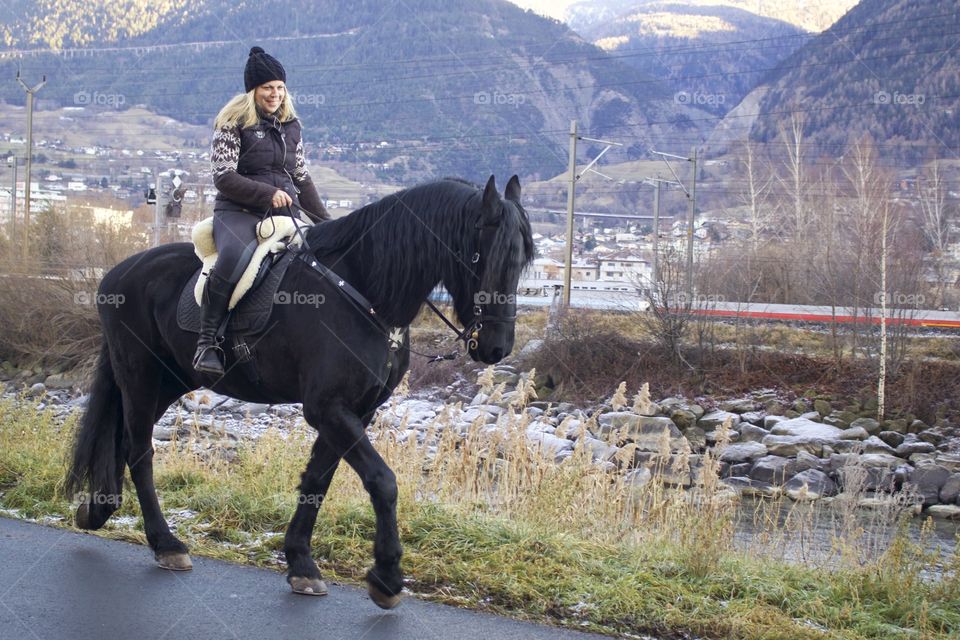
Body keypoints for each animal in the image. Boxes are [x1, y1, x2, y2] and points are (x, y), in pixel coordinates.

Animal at [64, 174, 536, 604]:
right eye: (482, 256)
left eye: (522, 262)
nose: (496, 347)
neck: (365, 294)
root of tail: (117, 274)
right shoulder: (328, 408)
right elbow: (382, 481)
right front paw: (386, 575)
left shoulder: (353, 411)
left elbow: (318, 481)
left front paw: (301, 563)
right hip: (140, 378)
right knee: (140, 453)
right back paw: (165, 543)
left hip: (169, 381)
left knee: (122, 441)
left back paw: (101, 509)